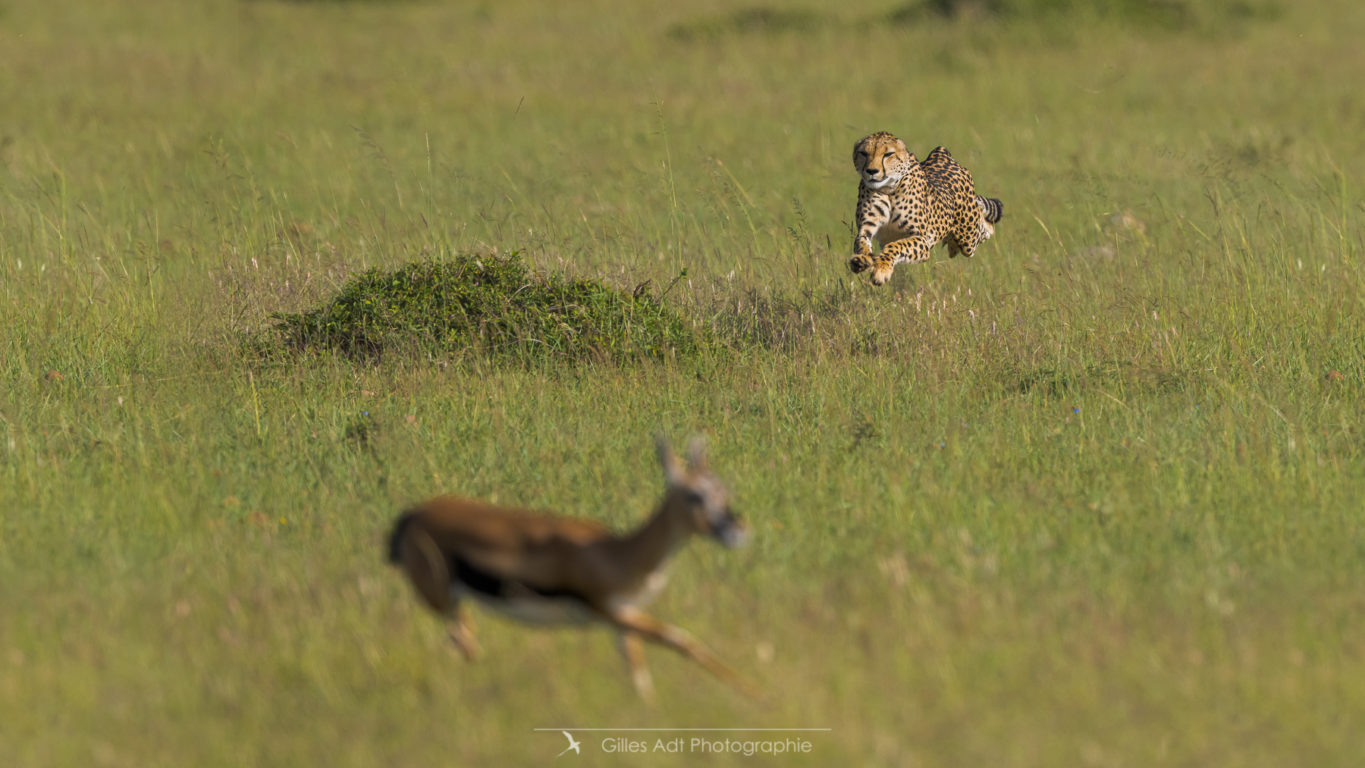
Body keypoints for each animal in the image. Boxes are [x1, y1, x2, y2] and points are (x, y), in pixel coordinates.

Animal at [840, 130, 1004, 286]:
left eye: (888, 154)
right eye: (863, 153)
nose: (871, 171)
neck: (888, 189)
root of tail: (941, 152)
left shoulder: (922, 239)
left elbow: (896, 245)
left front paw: (882, 269)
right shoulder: (866, 228)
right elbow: (861, 243)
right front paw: (862, 260)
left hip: (968, 239)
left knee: (984, 228)